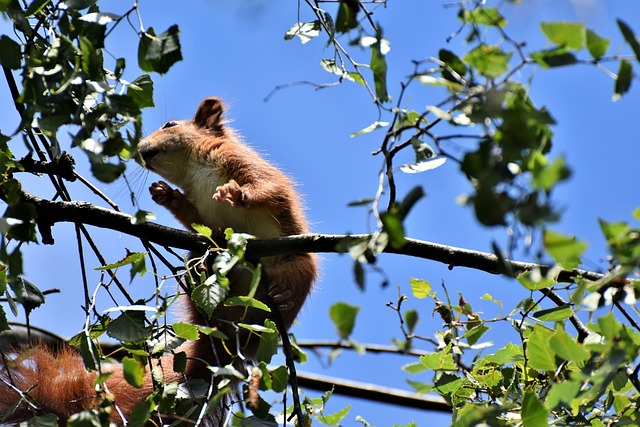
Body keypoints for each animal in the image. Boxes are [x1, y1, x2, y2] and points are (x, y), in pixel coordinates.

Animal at [0, 99, 318, 424]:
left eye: (170, 125)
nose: (140, 149)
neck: (193, 169)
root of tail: (228, 336)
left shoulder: (242, 163)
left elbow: (269, 188)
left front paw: (238, 193)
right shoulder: (199, 208)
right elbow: (195, 219)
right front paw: (166, 196)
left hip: (299, 265)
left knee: (293, 282)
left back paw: (283, 293)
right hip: (202, 273)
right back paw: (201, 271)